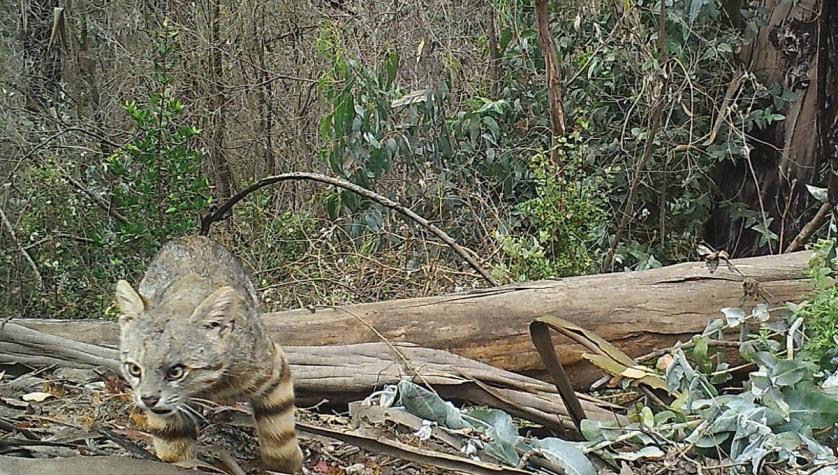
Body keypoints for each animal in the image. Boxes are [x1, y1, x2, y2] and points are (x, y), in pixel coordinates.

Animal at [115, 236, 302, 474]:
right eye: (134, 369)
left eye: (176, 372)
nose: (148, 399)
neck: (209, 385)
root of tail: (191, 237)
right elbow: (173, 444)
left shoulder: (272, 369)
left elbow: (279, 432)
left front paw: (287, 465)